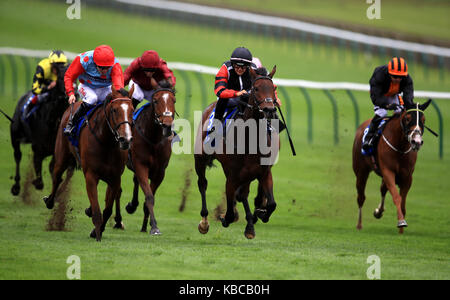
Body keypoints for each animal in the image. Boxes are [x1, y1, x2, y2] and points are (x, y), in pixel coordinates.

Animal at [2, 64, 68, 196]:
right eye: (60, 78)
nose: (65, 96)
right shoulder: (38, 145)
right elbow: (38, 161)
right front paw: (38, 182)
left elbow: (52, 166)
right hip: (15, 136)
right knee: (18, 156)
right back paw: (16, 187)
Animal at [42, 85, 134, 240]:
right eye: (115, 110)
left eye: (132, 110)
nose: (125, 139)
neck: (106, 142)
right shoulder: (91, 175)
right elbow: (97, 210)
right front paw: (97, 234)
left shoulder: (115, 178)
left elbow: (107, 209)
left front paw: (97, 230)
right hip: (61, 156)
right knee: (57, 177)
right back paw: (49, 201)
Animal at [125, 83, 178, 236]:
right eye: (155, 101)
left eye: (174, 101)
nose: (167, 125)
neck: (153, 139)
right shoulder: (140, 165)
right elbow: (149, 196)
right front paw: (154, 227)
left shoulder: (160, 172)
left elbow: (149, 197)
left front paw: (149, 225)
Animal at [194, 66, 280, 239]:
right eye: (256, 88)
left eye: (273, 89)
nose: (269, 110)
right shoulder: (232, 175)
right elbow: (229, 206)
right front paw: (226, 218)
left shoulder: (263, 172)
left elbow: (272, 203)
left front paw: (259, 215)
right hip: (200, 159)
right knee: (203, 184)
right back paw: (204, 222)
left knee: (243, 194)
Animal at [354, 99, 430, 233]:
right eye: (407, 118)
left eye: (423, 119)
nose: (416, 141)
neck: (400, 147)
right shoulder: (388, 171)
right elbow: (396, 197)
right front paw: (401, 222)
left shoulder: (407, 177)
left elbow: (403, 202)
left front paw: (401, 230)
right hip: (361, 171)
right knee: (361, 197)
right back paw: (359, 224)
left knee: (382, 189)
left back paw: (378, 211)